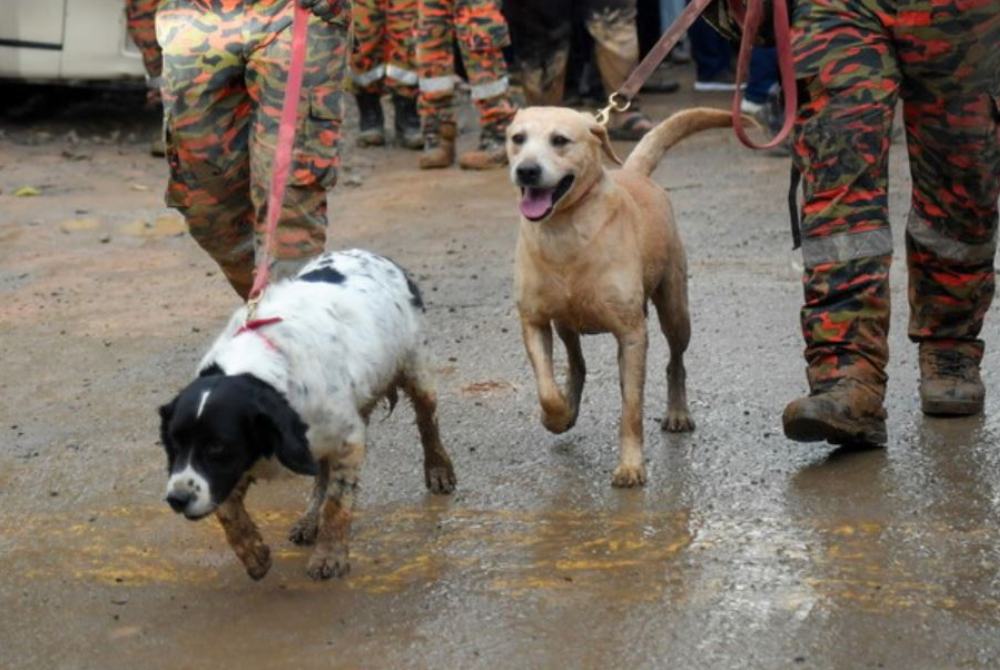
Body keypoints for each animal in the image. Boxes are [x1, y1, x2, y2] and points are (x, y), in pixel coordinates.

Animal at [158, 252, 456, 584]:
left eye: (217, 448)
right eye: (172, 445)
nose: (176, 500)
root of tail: (372, 254)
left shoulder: (348, 441)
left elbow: (337, 503)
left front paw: (330, 557)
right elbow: (228, 510)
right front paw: (254, 554)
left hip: (417, 371)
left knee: (428, 421)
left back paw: (439, 470)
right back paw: (308, 522)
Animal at [512, 106, 732, 488]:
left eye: (560, 140)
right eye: (517, 138)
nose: (526, 170)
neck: (565, 230)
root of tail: (633, 172)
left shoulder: (631, 335)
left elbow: (631, 408)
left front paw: (630, 466)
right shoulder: (534, 321)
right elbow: (547, 390)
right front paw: (557, 415)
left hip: (675, 311)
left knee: (675, 362)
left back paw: (677, 412)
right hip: (566, 322)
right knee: (577, 364)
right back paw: (571, 403)